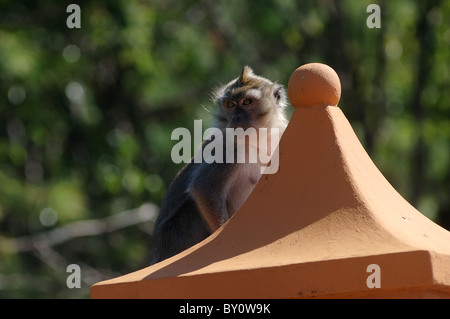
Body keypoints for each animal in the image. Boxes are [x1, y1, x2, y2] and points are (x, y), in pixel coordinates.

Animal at [151, 65, 288, 264]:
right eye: (230, 105)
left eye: (247, 102)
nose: (236, 118)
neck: (261, 139)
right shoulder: (230, 148)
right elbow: (203, 188)